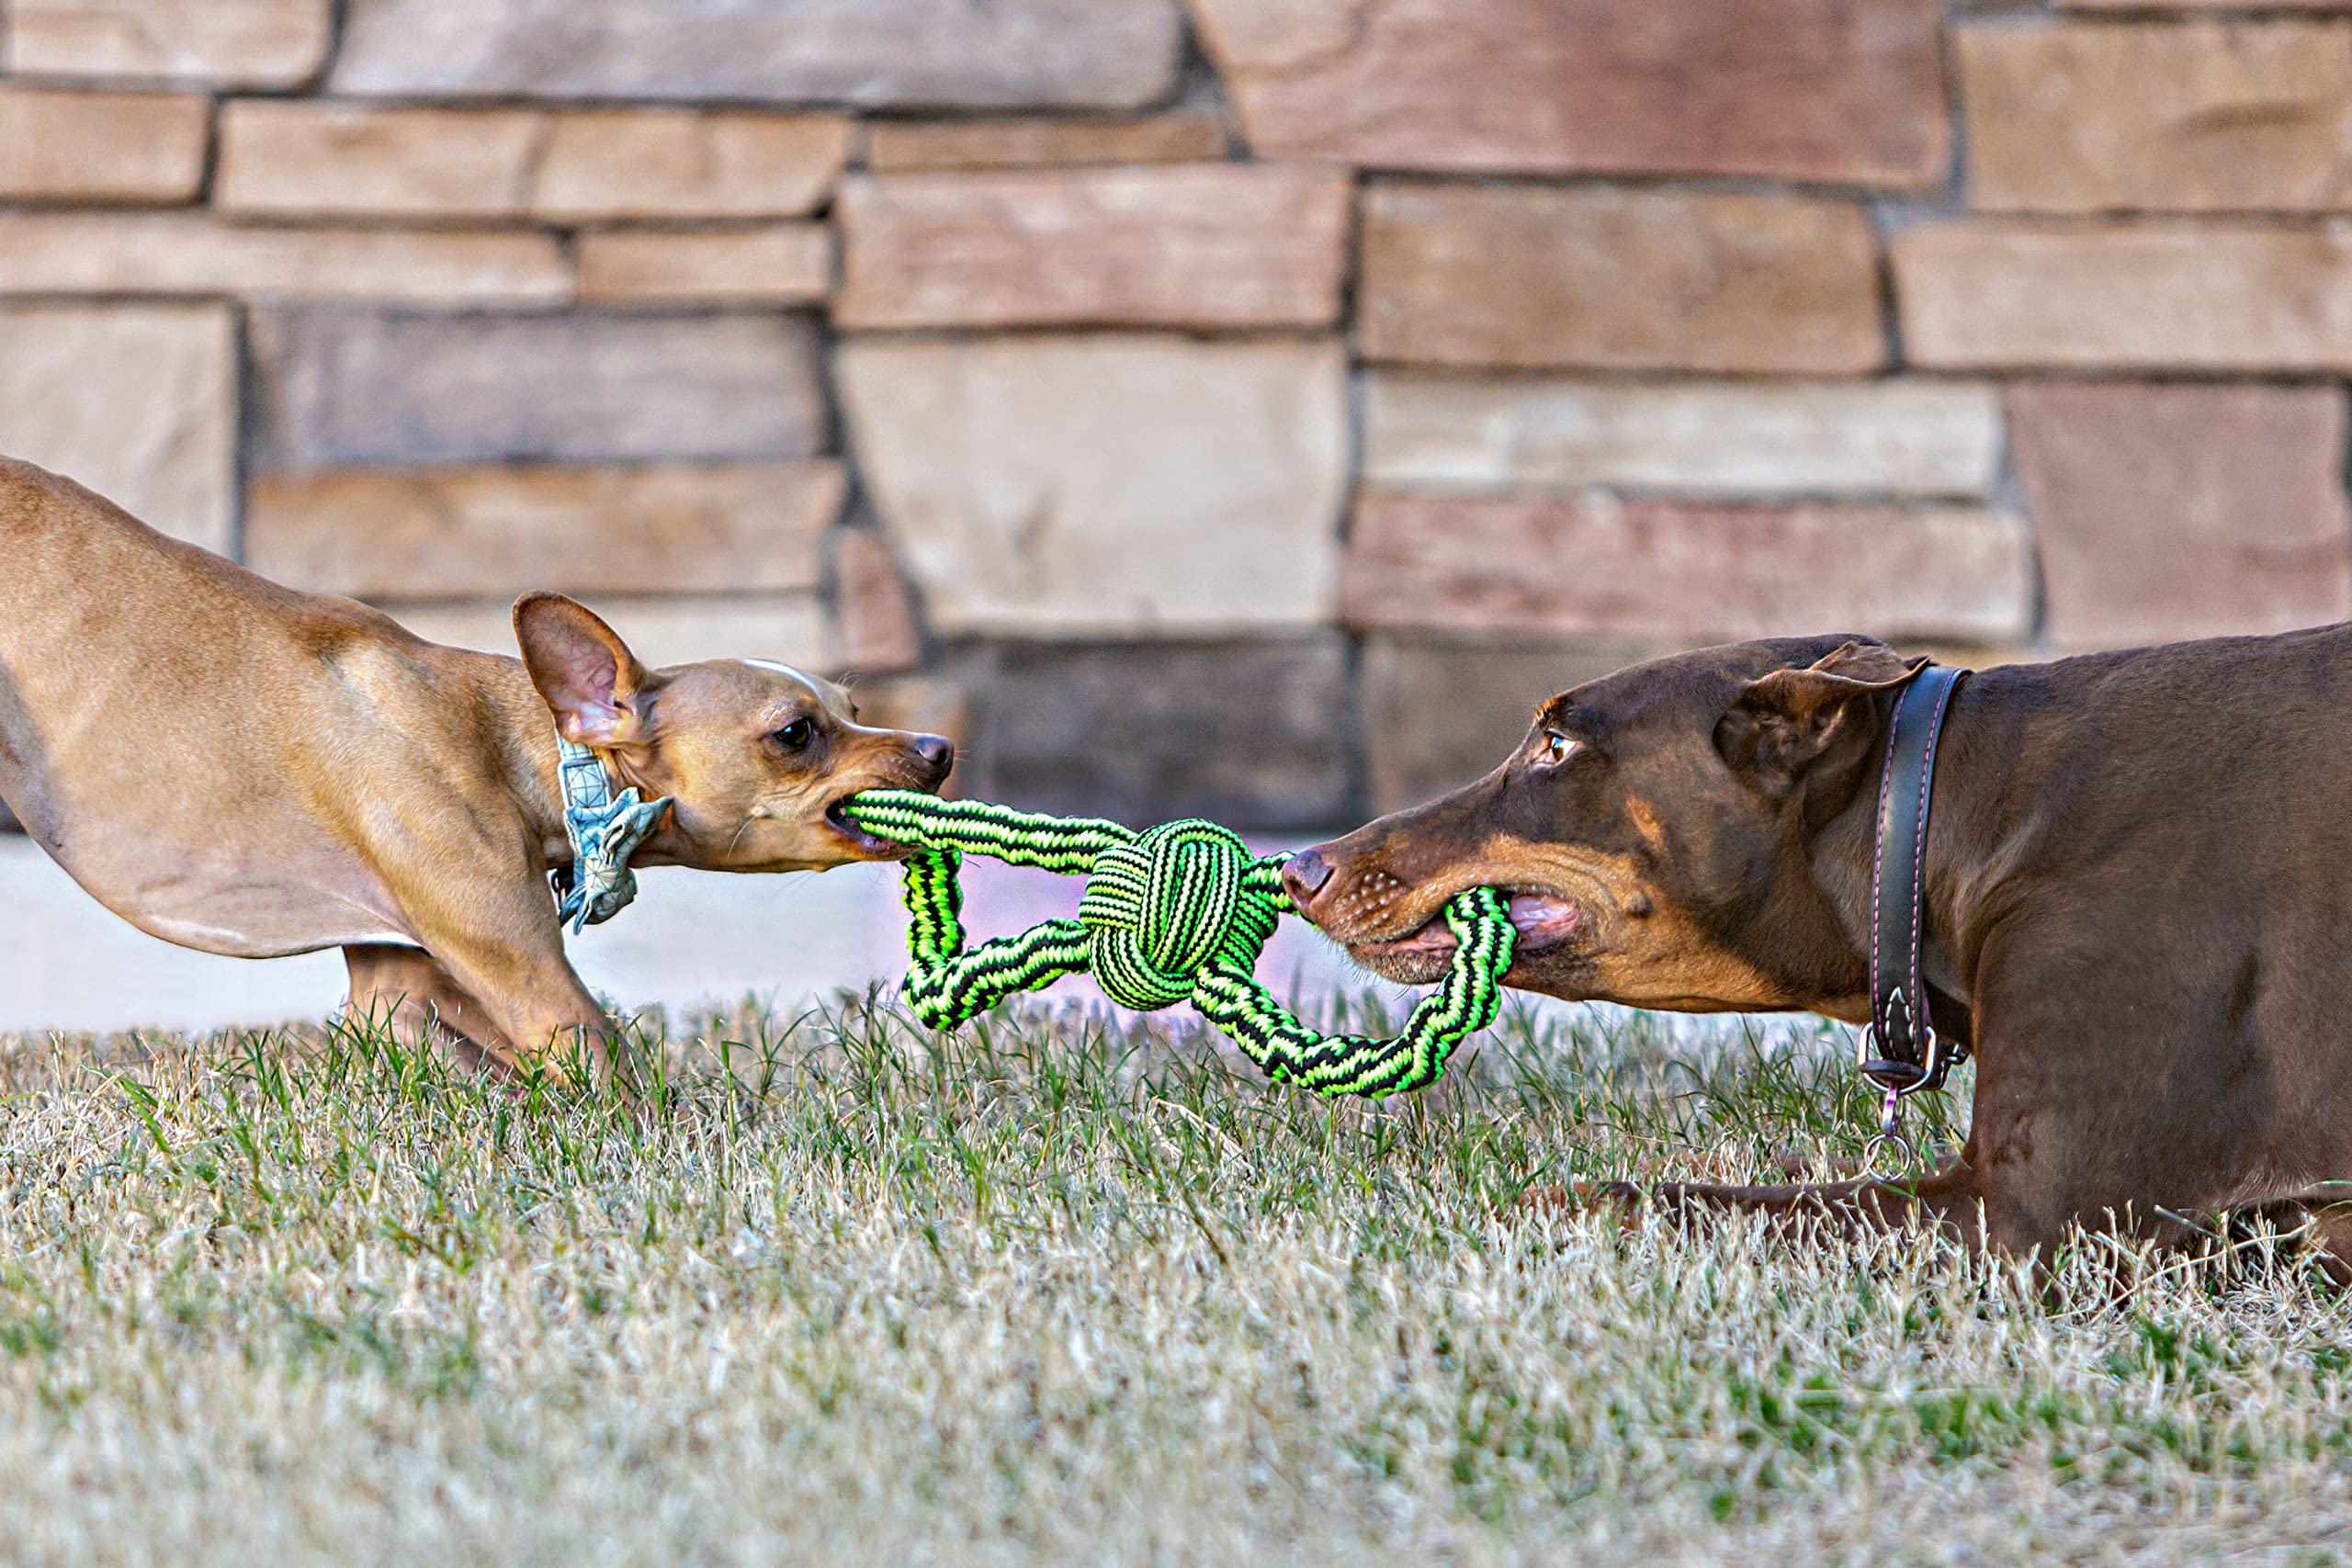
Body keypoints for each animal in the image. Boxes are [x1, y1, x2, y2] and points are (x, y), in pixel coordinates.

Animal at [2, 460, 955, 1086]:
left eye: (853, 704)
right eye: (795, 733)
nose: (940, 748)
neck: (515, 747)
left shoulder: (397, 990)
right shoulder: (531, 980)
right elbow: (615, 1075)